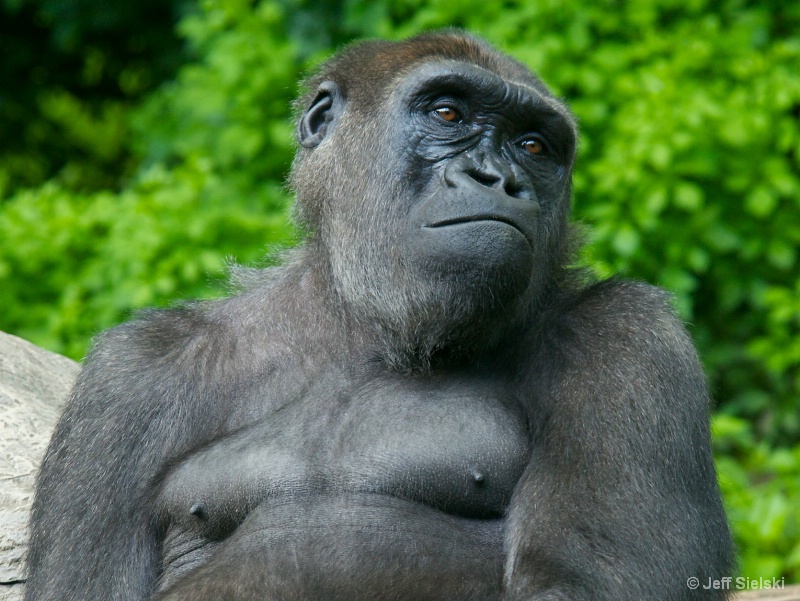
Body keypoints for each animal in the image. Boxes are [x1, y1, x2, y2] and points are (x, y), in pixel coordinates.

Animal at [28, 31, 736, 600]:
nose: (499, 179)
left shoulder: (629, 334)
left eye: (534, 146)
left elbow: (584, 584)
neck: (362, 322)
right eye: (448, 112)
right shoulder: (130, 377)